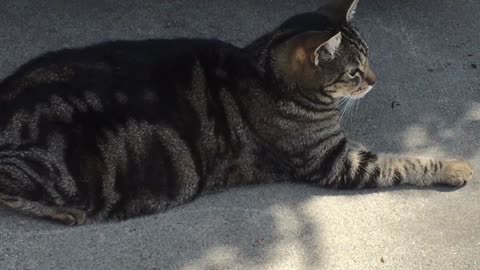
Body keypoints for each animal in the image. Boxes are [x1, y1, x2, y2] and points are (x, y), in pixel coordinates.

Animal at [0, 0, 472, 225]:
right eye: (355, 71)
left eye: (369, 57)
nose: (375, 79)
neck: (263, 71)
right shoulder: (336, 164)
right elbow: (405, 162)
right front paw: (455, 166)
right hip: (60, 174)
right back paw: (65, 213)